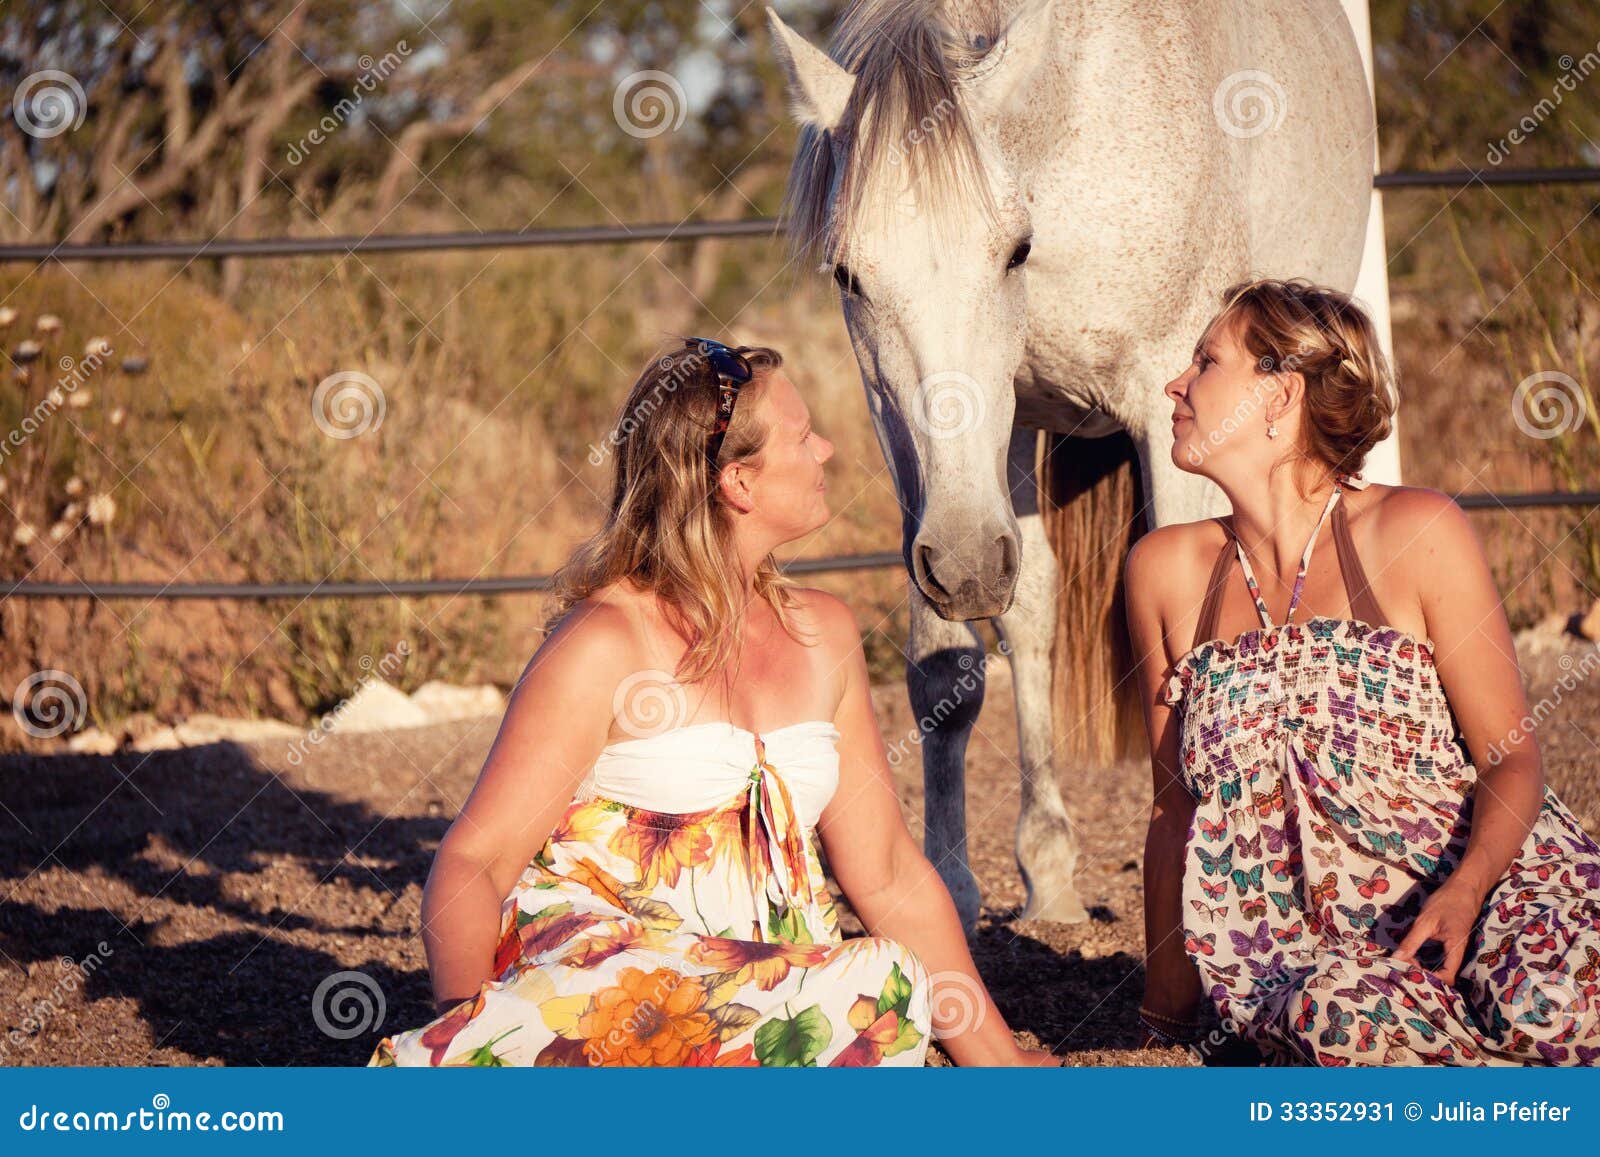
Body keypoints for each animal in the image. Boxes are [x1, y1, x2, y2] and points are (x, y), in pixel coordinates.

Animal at [768, 0, 1369, 934]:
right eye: (849, 273)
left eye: (1014, 249)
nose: (967, 564)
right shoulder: (935, 458)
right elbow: (950, 664)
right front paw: (954, 885)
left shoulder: (1173, 413)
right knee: (1032, 605)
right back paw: (1047, 875)